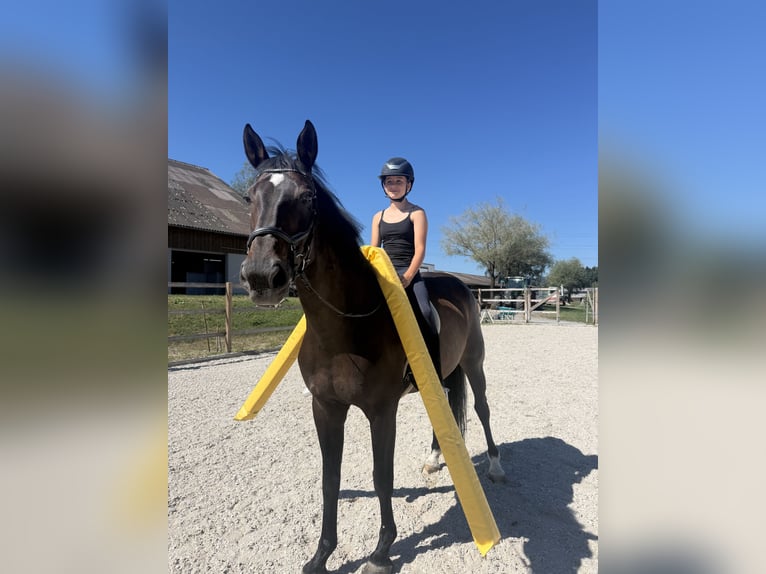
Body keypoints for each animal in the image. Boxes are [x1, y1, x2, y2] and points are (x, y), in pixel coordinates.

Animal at [239, 120, 505, 574]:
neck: (342, 329)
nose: (261, 277)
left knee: (483, 409)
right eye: (249, 198)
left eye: (306, 197)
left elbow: (383, 476)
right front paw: (321, 555)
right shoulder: (326, 407)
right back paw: (435, 458)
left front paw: (382, 552)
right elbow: (330, 478)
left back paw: (495, 466)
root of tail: (461, 287)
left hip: (474, 363)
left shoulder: (381, 410)